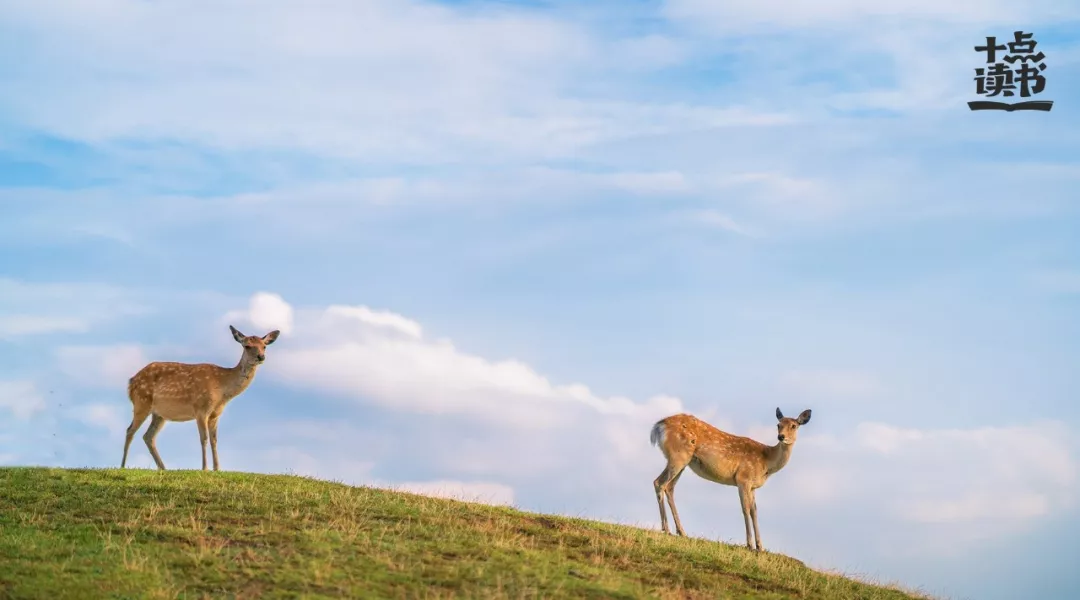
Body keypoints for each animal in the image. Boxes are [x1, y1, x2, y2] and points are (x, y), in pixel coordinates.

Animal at [119, 325, 280, 470]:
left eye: (264, 346)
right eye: (247, 346)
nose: (261, 357)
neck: (222, 389)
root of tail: (131, 382)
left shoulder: (215, 414)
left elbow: (214, 440)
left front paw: (217, 469)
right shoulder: (201, 409)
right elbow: (204, 439)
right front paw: (205, 468)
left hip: (159, 414)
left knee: (148, 436)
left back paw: (163, 468)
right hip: (141, 402)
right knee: (130, 431)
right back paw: (122, 465)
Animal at [648, 407, 812, 552]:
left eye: (794, 426)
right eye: (778, 425)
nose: (781, 437)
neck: (767, 463)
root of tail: (659, 426)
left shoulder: (752, 486)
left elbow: (754, 511)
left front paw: (760, 547)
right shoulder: (743, 478)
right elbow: (745, 509)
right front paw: (750, 545)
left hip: (683, 461)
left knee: (669, 487)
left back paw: (681, 531)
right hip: (679, 455)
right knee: (659, 482)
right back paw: (666, 529)